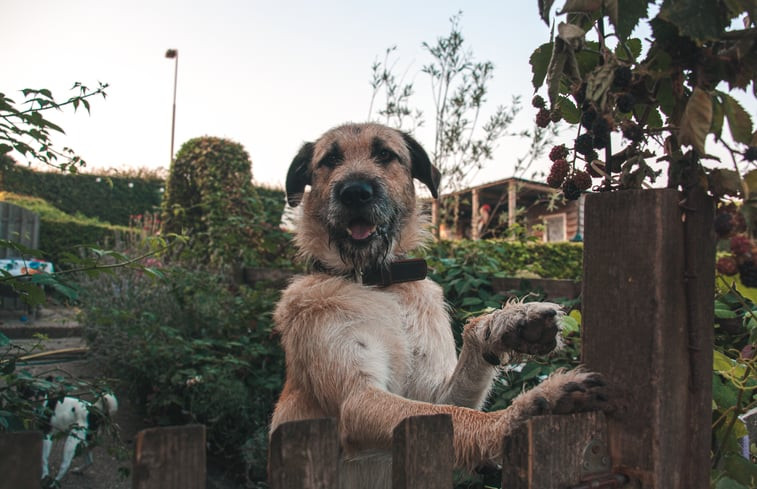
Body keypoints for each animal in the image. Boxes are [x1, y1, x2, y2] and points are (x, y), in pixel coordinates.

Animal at [268, 123, 604, 488]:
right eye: (330, 159)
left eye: (384, 154)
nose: (355, 192)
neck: (379, 283)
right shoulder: (357, 400)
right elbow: (461, 417)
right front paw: (524, 412)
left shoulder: (431, 398)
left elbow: (453, 397)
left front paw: (508, 324)